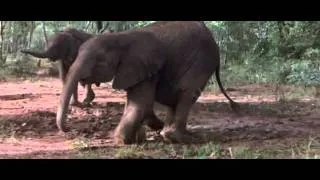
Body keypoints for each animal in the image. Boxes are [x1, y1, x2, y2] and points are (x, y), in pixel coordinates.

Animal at [55, 21, 240, 145]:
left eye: (99, 61)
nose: (69, 130)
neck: (122, 38)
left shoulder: (146, 67)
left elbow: (140, 104)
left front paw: (122, 141)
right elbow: (138, 103)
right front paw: (137, 137)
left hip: (203, 61)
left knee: (187, 92)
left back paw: (176, 137)